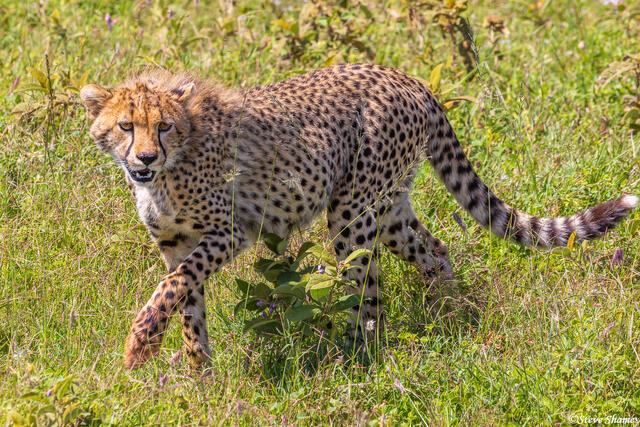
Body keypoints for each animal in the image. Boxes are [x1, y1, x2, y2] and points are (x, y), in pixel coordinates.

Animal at [80, 64, 638, 369]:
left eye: (165, 127)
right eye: (126, 126)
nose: (145, 157)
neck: (168, 171)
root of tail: (402, 75)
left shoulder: (230, 231)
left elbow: (171, 288)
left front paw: (139, 347)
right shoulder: (175, 243)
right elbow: (186, 302)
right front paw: (199, 378)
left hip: (352, 213)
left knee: (366, 292)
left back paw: (355, 358)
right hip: (387, 207)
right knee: (436, 249)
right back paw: (449, 314)